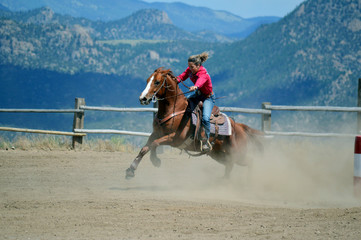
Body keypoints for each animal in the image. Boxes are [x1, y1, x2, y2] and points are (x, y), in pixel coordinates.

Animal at [124, 66, 262, 179]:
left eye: (157, 82)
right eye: (147, 80)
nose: (143, 98)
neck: (175, 109)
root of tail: (239, 127)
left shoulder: (175, 138)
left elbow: (154, 144)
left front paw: (155, 160)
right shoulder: (156, 133)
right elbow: (145, 147)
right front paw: (131, 169)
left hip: (237, 153)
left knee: (251, 161)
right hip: (219, 154)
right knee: (230, 165)